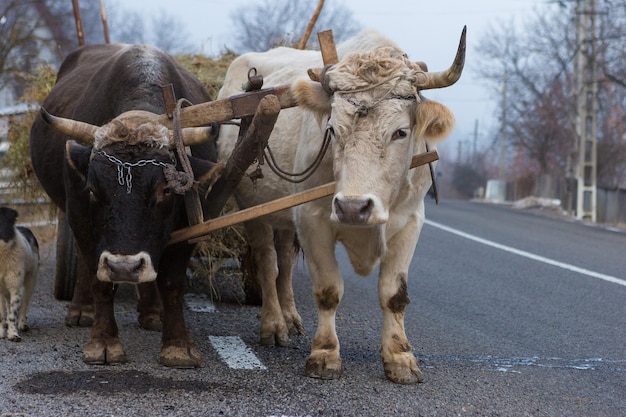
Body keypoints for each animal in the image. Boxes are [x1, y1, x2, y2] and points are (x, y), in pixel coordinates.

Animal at [0, 206, 39, 340]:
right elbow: (2, 315)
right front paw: (2, 332)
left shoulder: (16, 287)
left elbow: (13, 314)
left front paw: (13, 334)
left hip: (30, 281)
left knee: (25, 304)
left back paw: (22, 324)